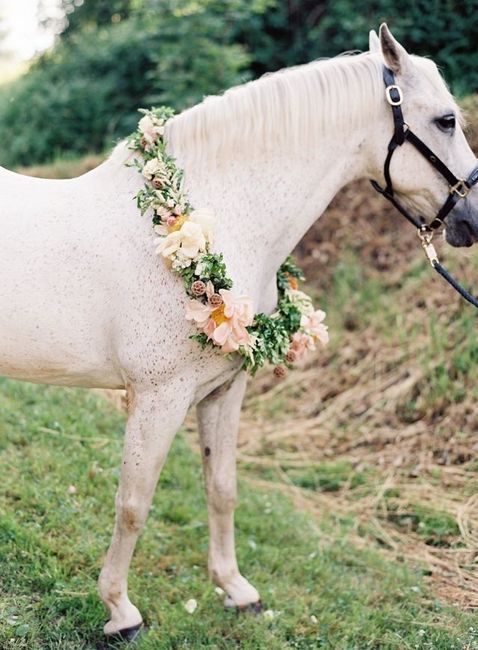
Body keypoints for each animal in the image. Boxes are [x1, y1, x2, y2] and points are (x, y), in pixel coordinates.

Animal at [1, 23, 477, 641]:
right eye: (446, 120)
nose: (472, 222)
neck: (205, 218)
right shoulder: (158, 397)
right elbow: (133, 503)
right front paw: (120, 611)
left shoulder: (225, 390)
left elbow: (222, 488)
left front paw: (236, 589)